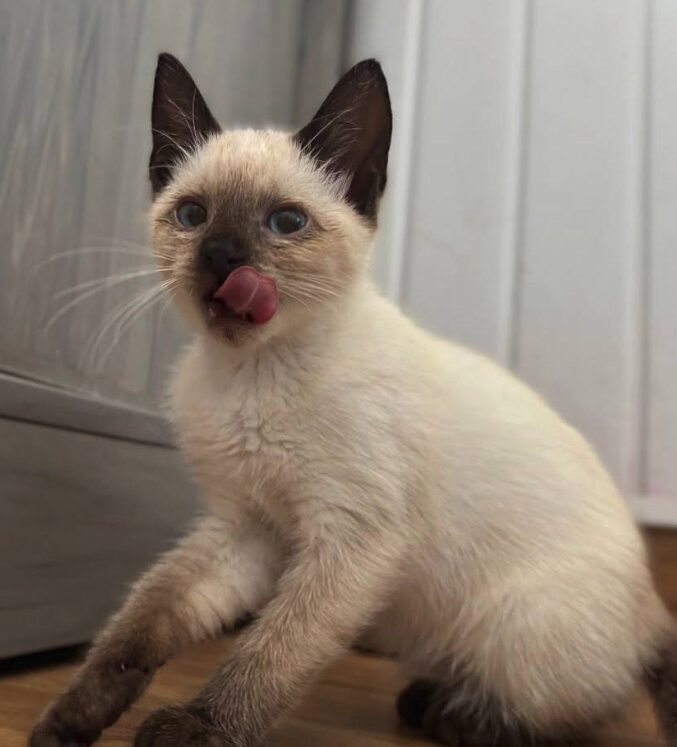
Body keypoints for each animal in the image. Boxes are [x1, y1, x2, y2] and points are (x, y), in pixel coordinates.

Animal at [29, 54, 676, 747]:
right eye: (193, 215)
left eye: (286, 223)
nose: (221, 257)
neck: (251, 374)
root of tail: (654, 612)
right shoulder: (248, 530)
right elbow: (139, 625)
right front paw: (66, 723)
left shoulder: (350, 540)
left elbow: (269, 656)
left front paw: (195, 730)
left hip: (516, 625)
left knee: (560, 715)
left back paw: (452, 712)